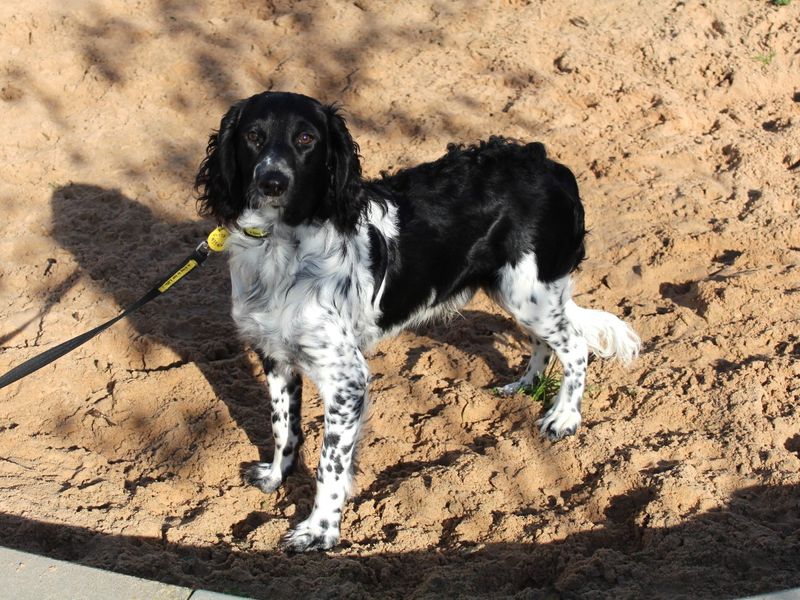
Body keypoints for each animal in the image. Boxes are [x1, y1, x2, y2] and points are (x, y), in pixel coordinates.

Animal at [197, 90, 640, 552]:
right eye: (253, 136)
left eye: (305, 138)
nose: (272, 182)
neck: (282, 248)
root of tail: (550, 165)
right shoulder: (276, 355)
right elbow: (283, 427)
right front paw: (275, 477)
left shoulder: (347, 377)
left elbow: (329, 464)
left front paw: (319, 531)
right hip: (519, 292)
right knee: (548, 342)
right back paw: (525, 385)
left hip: (528, 291)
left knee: (575, 346)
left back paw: (564, 418)